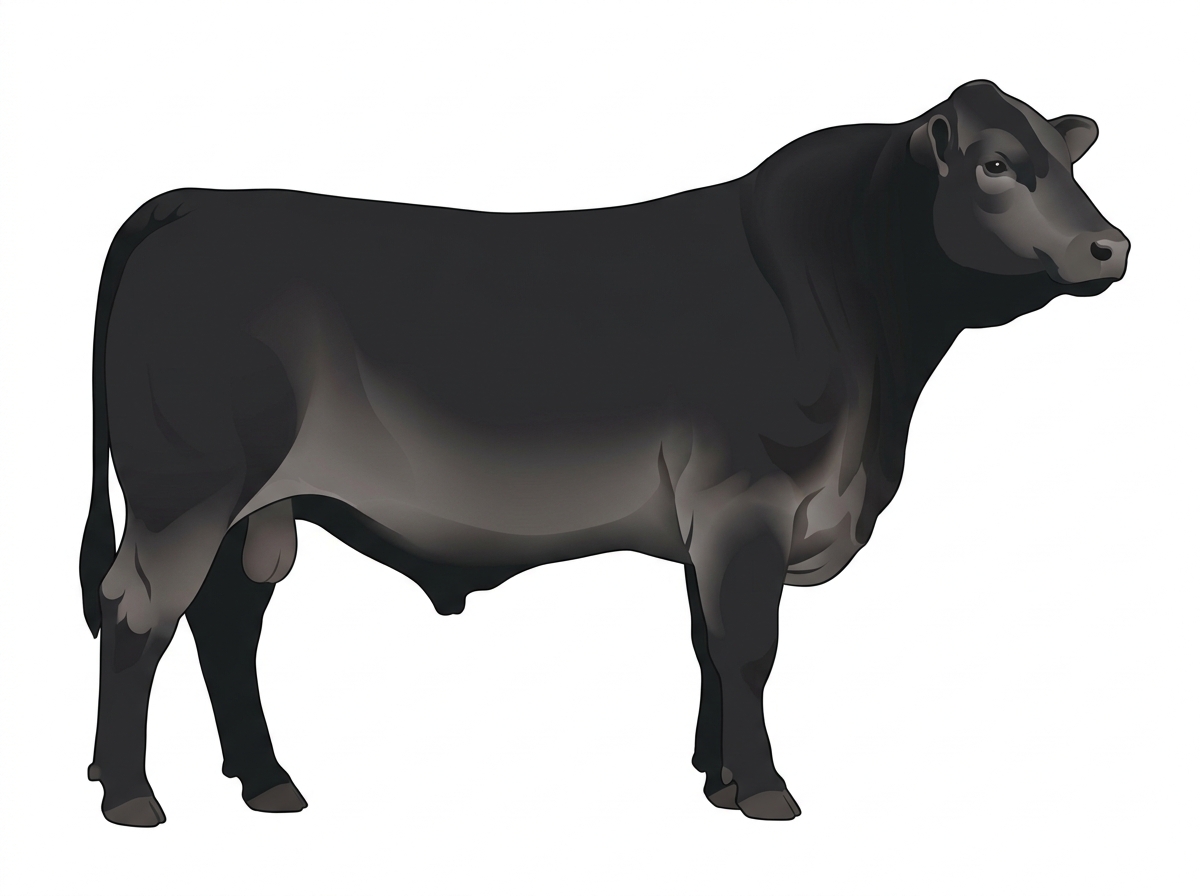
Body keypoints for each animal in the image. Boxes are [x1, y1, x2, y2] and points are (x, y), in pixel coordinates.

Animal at [79, 80, 1128, 826]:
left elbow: (709, 645)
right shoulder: (746, 502)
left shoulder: (714, 523)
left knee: (226, 622)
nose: (1109, 247)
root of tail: (195, 202)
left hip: (258, 508)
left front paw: (717, 779)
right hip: (187, 490)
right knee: (139, 613)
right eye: (996, 165)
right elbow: (749, 649)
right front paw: (765, 789)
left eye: (1069, 160)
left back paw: (266, 781)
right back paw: (131, 798)